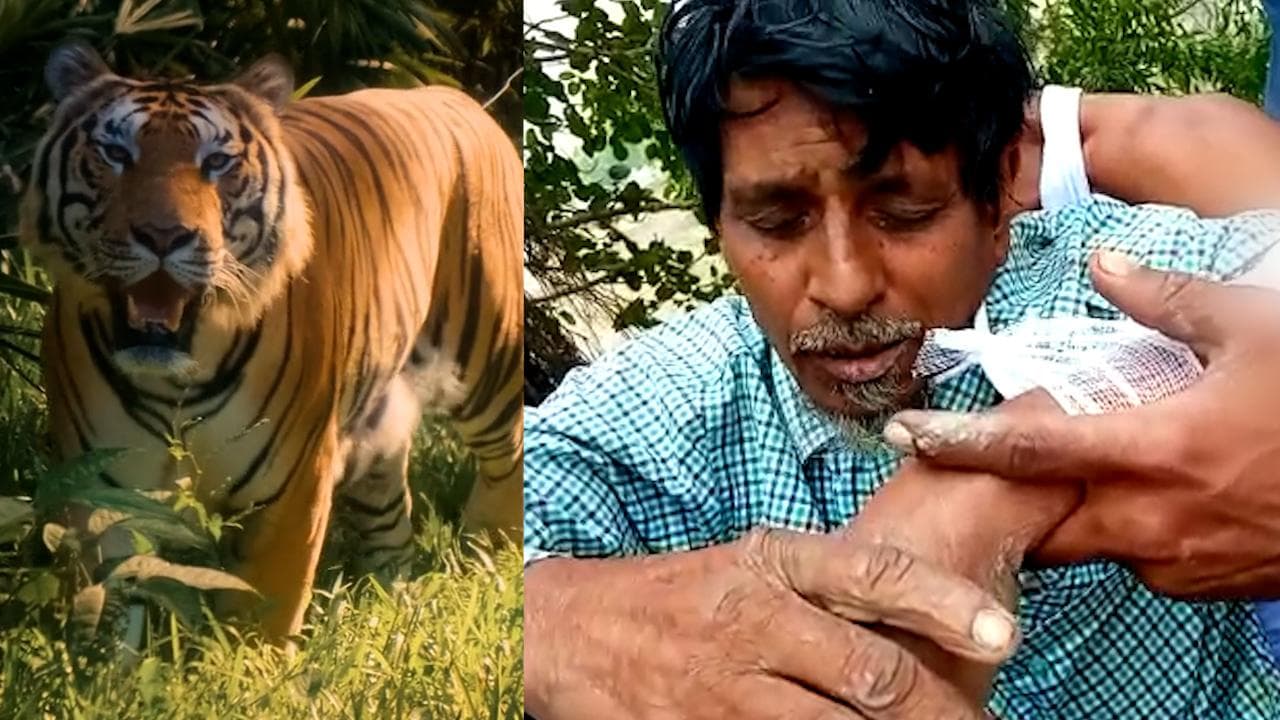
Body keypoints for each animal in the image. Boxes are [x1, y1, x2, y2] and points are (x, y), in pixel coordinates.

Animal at [18, 43, 524, 640]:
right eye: (116, 153)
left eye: (217, 162)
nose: (164, 236)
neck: (176, 381)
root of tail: (453, 95)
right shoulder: (102, 487)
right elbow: (111, 605)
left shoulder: (293, 484)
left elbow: (264, 611)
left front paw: (250, 659)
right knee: (388, 502)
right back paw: (396, 595)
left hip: (487, 360)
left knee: (510, 453)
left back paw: (490, 550)